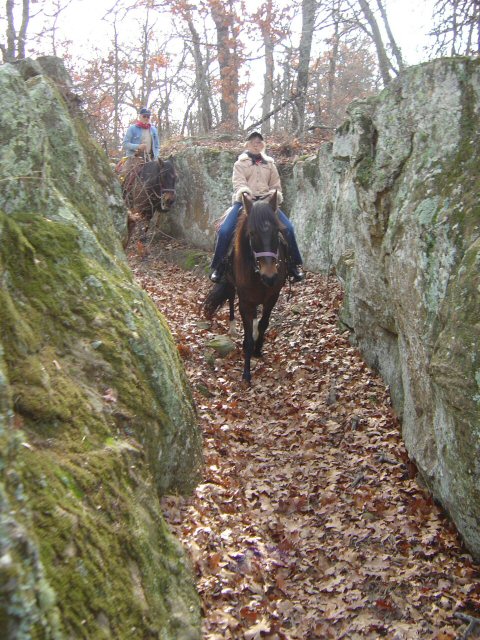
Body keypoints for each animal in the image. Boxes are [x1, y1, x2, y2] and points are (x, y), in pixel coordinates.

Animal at [203, 192, 286, 382]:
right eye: (252, 233)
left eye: (277, 231)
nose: (270, 276)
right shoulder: (245, 301)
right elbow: (247, 337)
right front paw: (246, 373)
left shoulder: (272, 297)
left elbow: (263, 324)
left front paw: (258, 349)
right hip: (230, 282)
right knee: (230, 298)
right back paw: (233, 328)